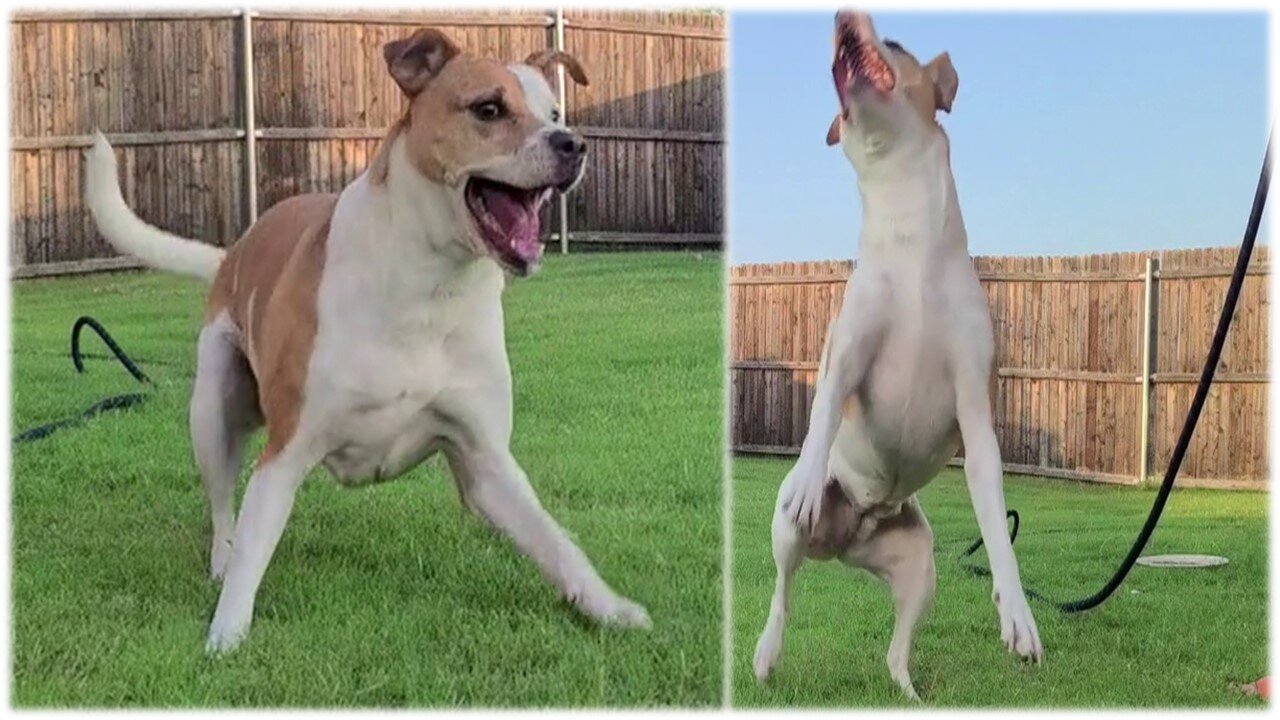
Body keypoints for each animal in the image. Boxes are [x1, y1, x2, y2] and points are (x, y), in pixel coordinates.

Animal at [82, 28, 650, 650]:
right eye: (489, 109)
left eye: (554, 114)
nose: (573, 144)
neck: (429, 289)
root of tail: (234, 254)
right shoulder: (285, 454)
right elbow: (255, 546)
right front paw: (226, 635)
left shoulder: (486, 461)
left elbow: (556, 542)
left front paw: (609, 608)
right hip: (212, 411)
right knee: (224, 506)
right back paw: (220, 559)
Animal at [752, 9, 1044, 696]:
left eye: (897, 42)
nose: (841, 18)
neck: (910, 234)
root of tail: (848, 534)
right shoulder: (845, 358)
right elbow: (823, 412)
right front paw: (811, 467)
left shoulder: (974, 407)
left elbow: (997, 525)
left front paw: (1016, 611)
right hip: (788, 532)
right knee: (783, 592)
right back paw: (767, 652)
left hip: (920, 571)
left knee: (895, 651)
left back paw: (908, 692)